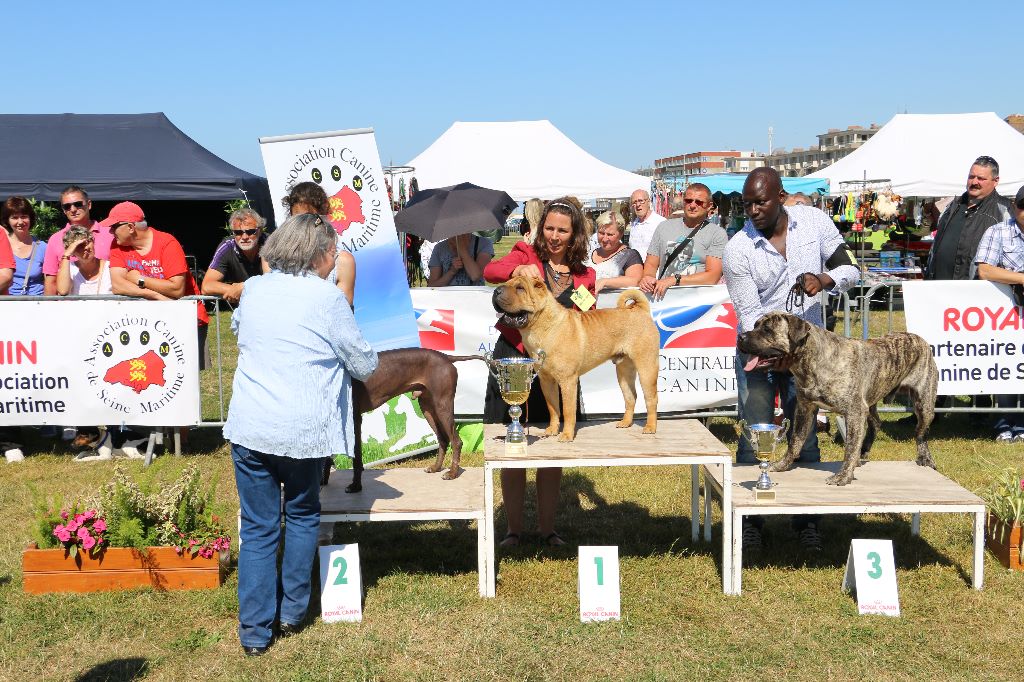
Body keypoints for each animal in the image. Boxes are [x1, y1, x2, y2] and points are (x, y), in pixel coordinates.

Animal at [493, 276, 655, 440]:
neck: (542, 328)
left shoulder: (568, 380)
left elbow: (568, 410)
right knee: (631, 397)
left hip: (646, 369)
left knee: (651, 399)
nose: (496, 290)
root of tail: (640, 309)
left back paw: (650, 427)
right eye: (506, 283)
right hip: (623, 372)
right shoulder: (547, 380)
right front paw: (552, 430)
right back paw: (625, 423)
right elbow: (553, 408)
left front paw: (566, 435)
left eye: (520, 288)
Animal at [737, 311, 937, 485]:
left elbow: (849, 447)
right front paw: (782, 464)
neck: (812, 362)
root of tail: (920, 339)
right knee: (876, 423)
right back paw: (864, 451)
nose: (740, 337)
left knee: (921, 433)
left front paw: (843, 476)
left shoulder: (854, 412)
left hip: (924, 404)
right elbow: (795, 441)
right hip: (870, 401)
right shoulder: (804, 408)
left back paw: (925, 458)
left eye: (767, 330)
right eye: (755, 325)